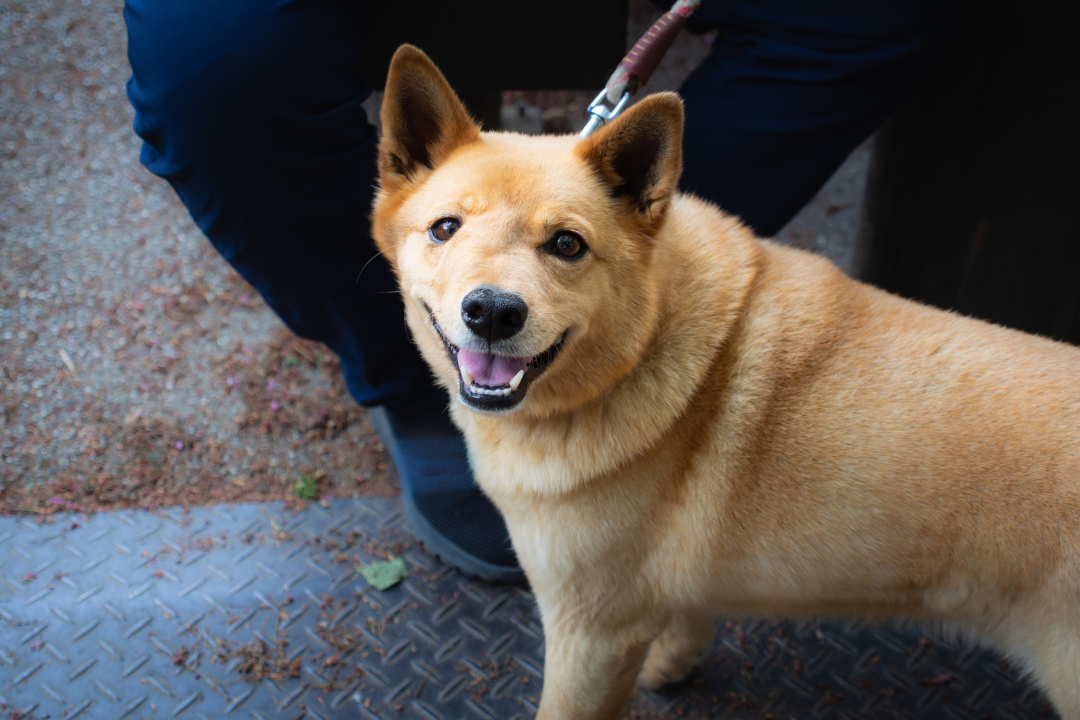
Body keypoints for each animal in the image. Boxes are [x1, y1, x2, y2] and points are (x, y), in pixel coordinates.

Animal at [371, 46, 1080, 720]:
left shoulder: (591, 635)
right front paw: (675, 660)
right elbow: (690, 612)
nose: (492, 312)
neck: (644, 347)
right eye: (445, 228)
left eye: (567, 245)